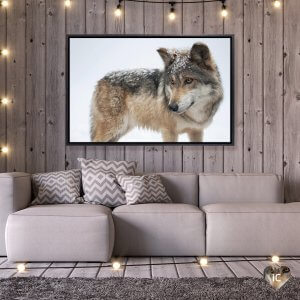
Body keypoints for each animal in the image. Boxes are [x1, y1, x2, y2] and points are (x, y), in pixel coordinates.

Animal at [90, 41, 224, 143]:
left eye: (188, 80)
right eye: (172, 82)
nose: (171, 107)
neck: (195, 115)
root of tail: (101, 80)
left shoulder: (197, 131)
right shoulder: (169, 132)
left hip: (119, 132)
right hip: (113, 129)